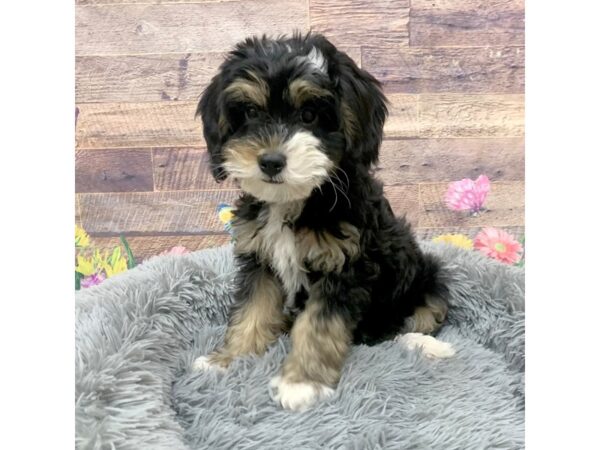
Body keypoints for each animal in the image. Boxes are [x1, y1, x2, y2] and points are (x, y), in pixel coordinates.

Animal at [192, 32, 450, 412]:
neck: (296, 200)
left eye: (310, 114)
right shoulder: (260, 258)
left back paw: (425, 346)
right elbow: (252, 309)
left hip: (429, 277)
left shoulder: (344, 266)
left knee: (418, 318)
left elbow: (319, 327)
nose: (270, 161)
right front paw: (229, 359)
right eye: (251, 112)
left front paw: (301, 383)